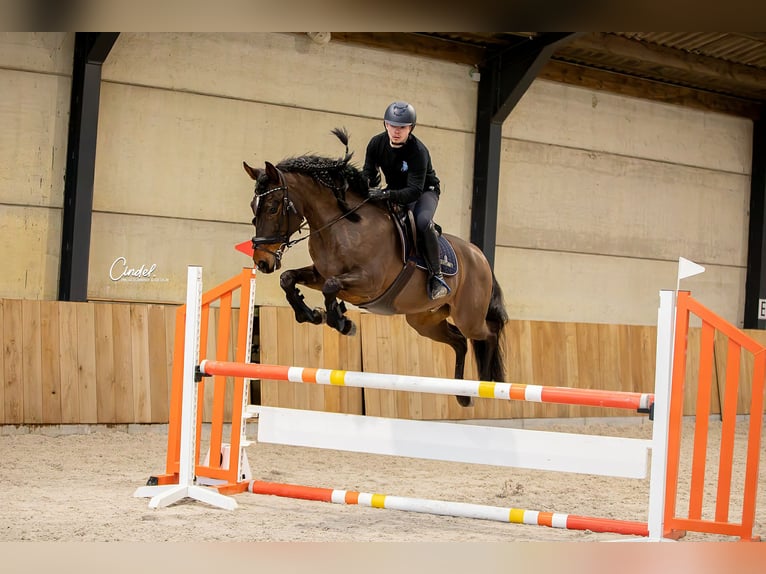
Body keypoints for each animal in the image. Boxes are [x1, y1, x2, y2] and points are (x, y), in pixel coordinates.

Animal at [243, 128, 508, 406]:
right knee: (459, 341)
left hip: (468, 316)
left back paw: (489, 382)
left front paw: (340, 321)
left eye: (273, 207)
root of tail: (480, 256)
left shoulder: (369, 282)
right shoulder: (321, 273)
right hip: (423, 320)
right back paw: (463, 394)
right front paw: (313, 315)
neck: (342, 225)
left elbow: (331, 287)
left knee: (489, 332)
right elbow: (288, 279)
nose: (262, 261)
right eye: (253, 207)